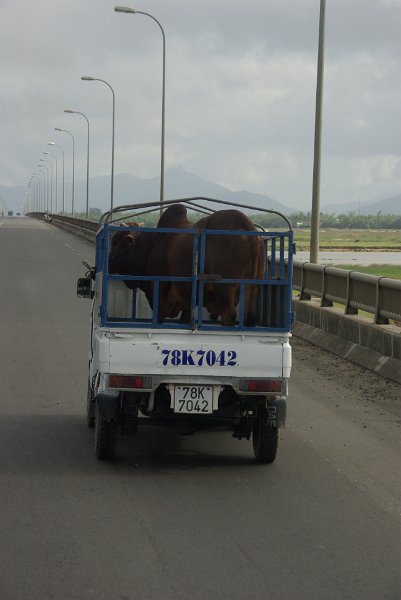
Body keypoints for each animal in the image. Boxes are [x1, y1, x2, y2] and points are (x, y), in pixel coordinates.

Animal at [107, 204, 262, 326]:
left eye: (115, 241)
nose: (108, 262)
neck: (152, 244)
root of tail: (246, 226)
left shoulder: (160, 291)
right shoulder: (187, 302)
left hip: (225, 288)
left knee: (229, 314)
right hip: (252, 289)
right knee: (250, 316)